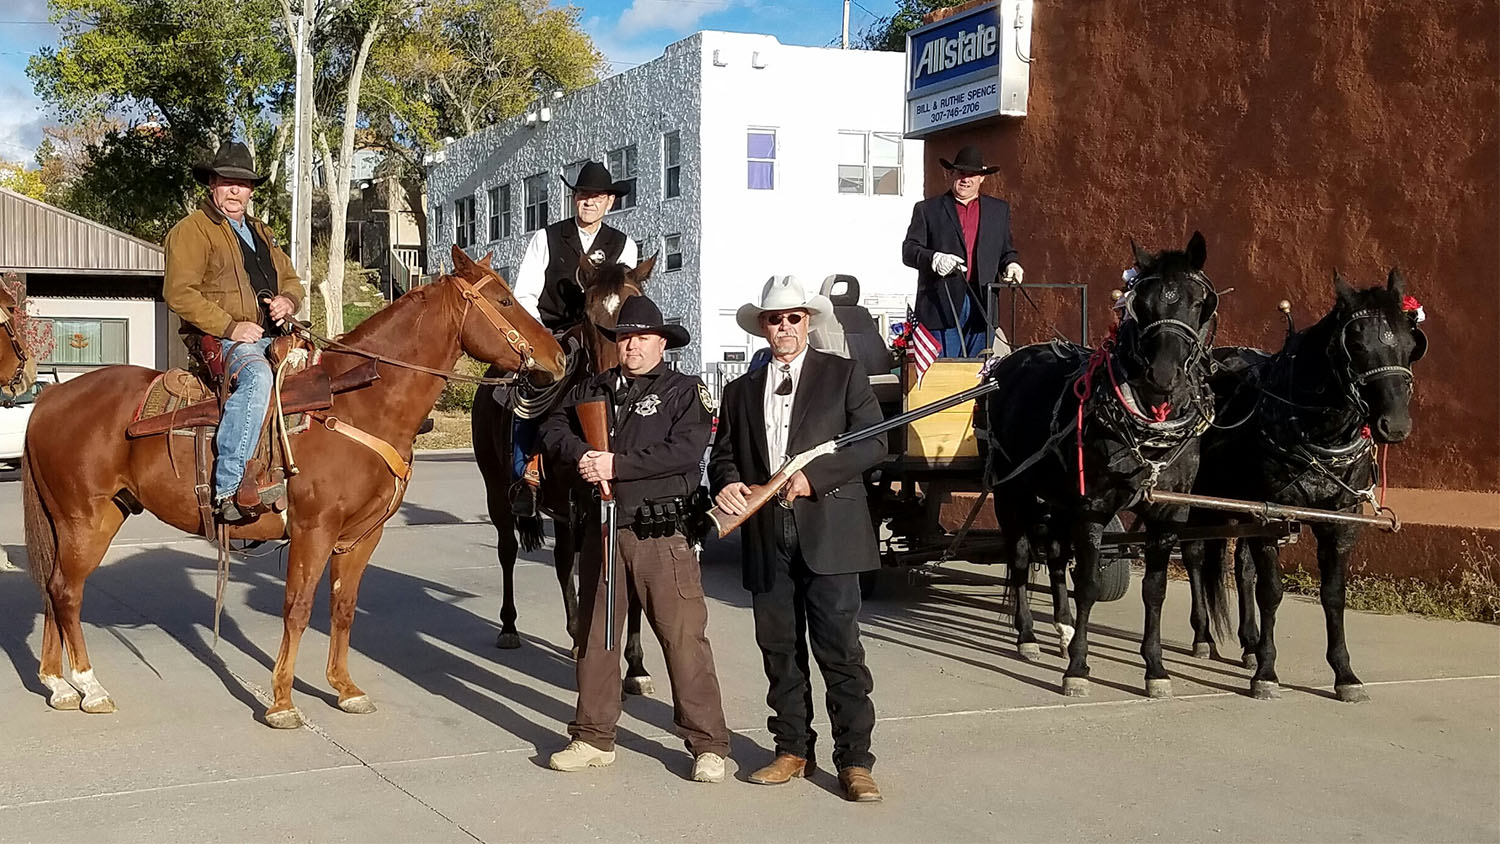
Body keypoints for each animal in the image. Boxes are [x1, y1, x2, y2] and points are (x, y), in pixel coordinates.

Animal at [21, 247, 564, 728]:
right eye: (505, 300)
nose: (558, 358)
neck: (360, 405)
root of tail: (49, 399)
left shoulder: (361, 536)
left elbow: (342, 608)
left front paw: (344, 688)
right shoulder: (312, 529)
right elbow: (298, 609)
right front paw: (282, 701)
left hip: (89, 517)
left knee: (52, 588)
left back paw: (58, 684)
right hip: (85, 519)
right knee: (67, 591)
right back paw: (90, 687)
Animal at [468, 256, 657, 692]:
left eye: (633, 310)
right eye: (587, 316)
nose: (619, 372)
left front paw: (636, 666)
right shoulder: (586, 505)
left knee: (561, 560)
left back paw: (573, 633)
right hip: (497, 491)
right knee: (508, 551)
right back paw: (510, 627)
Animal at [990, 232, 1224, 701]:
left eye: (1198, 302)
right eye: (1142, 304)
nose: (1162, 375)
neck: (1149, 419)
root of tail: (1013, 358)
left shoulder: (1168, 512)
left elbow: (1154, 590)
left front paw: (1156, 668)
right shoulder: (1093, 506)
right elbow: (1089, 585)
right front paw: (1078, 668)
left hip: (1057, 497)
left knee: (1054, 554)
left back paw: (1061, 628)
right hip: (1012, 490)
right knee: (1021, 556)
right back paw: (1028, 636)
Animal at [1182, 269, 1428, 701]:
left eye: (1411, 345)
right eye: (1356, 344)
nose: (1395, 425)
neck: (1317, 431)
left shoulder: (1340, 522)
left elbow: (1332, 595)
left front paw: (1345, 674)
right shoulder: (1272, 517)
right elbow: (1272, 592)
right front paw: (1266, 671)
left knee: (1242, 567)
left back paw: (1248, 643)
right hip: (1203, 496)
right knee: (1194, 553)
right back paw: (1204, 637)